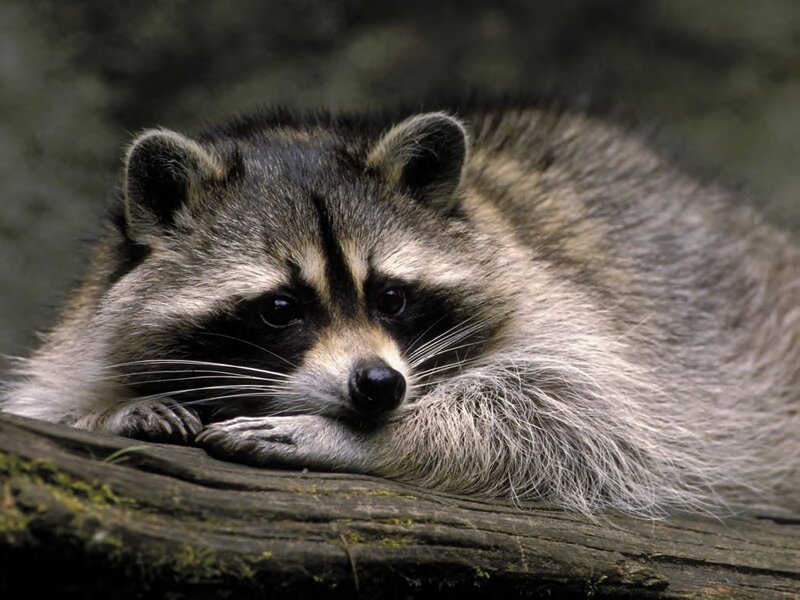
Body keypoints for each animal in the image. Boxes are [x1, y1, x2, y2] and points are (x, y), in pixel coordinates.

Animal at [2, 100, 798, 517]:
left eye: (392, 296)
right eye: (281, 308)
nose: (379, 387)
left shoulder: (565, 307)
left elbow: (578, 419)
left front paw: (358, 438)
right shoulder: (88, 321)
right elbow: (44, 402)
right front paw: (109, 411)